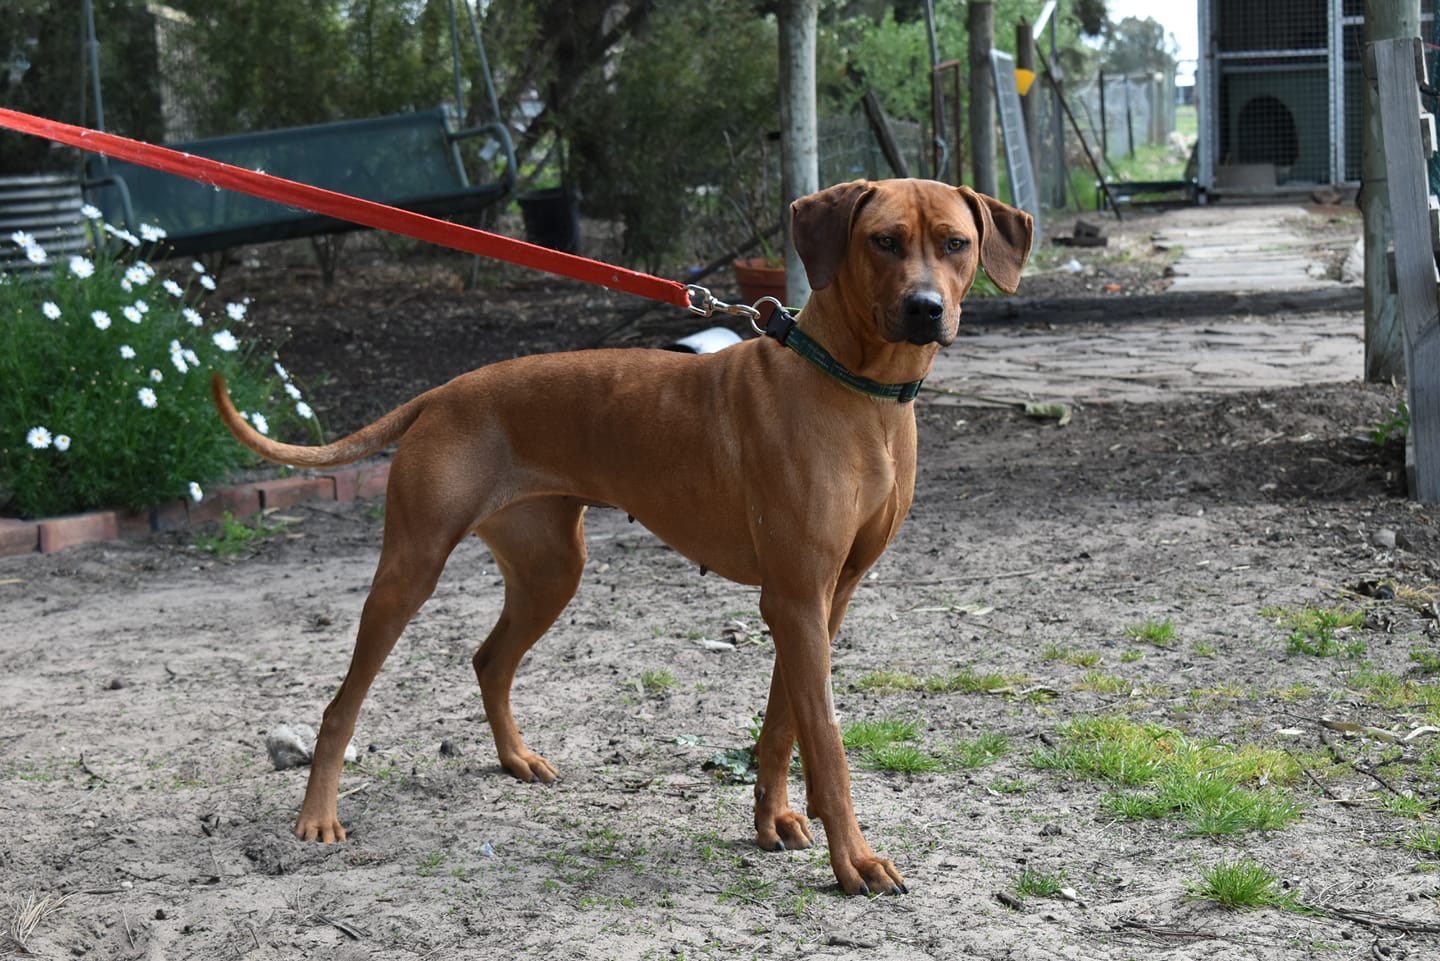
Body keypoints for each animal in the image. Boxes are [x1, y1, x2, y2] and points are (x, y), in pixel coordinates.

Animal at [213, 178, 1033, 895]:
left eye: (955, 243)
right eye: (882, 241)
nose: (926, 309)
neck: (852, 388)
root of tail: (443, 392)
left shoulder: (821, 600)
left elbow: (783, 724)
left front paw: (773, 820)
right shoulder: (797, 598)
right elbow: (826, 741)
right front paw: (854, 860)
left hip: (552, 569)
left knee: (489, 659)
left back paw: (514, 759)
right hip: (410, 569)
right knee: (340, 707)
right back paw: (317, 817)